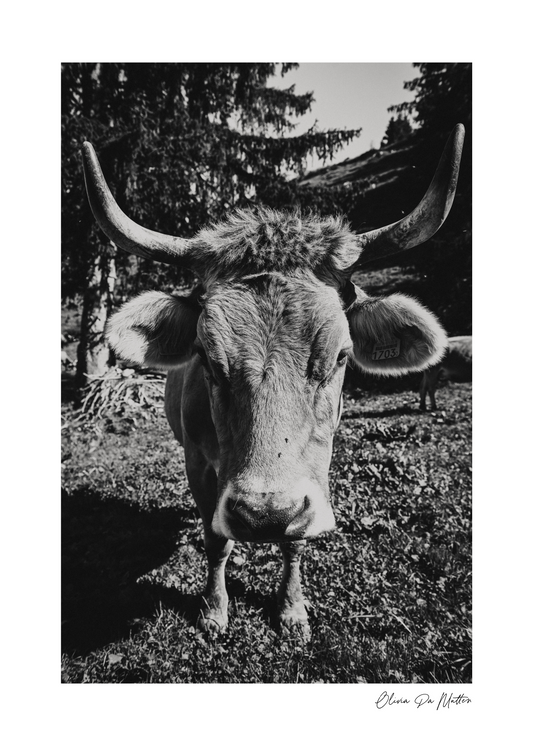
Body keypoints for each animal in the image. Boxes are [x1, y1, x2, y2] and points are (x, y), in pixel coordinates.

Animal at [81, 124, 464, 637]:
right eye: (206, 357)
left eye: (341, 356)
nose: (264, 515)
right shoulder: (198, 464)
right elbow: (216, 540)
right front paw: (214, 610)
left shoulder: (314, 471)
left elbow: (296, 540)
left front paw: (291, 609)